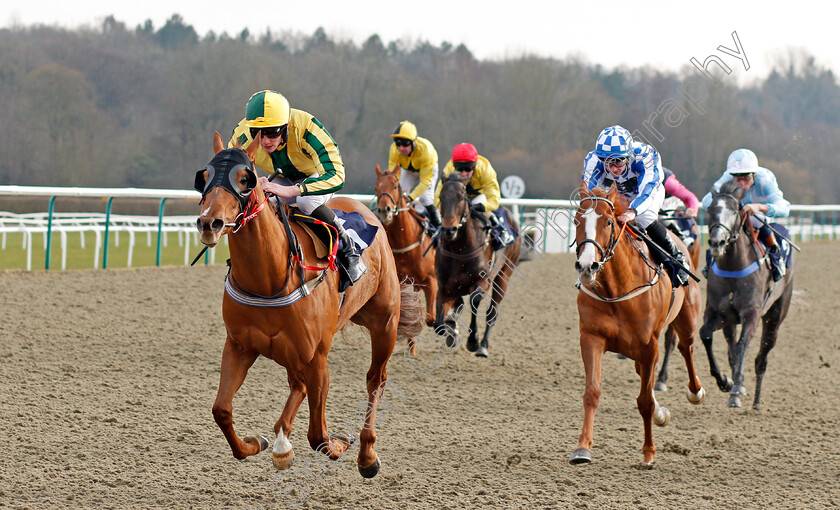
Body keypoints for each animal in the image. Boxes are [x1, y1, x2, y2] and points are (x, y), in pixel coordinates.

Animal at [194, 131, 424, 478]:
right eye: (204, 177)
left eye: (245, 179)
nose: (209, 223)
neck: (269, 280)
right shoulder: (239, 345)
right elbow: (221, 409)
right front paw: (257, 443)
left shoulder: (317, 357)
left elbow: (318, 436)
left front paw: (340, 444)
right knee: (297, 387)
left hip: (385, 323)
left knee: (375, 380)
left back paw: (366, 454)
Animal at [434, 175, 520, 358]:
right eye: (442, 198)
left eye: (461, 197)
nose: (448, 230)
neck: (459, 250)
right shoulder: (444, 286)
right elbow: (438, 325)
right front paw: (451, 332)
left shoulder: (482, 282)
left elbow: (475, 301)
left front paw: (473, 341)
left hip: (504, 275)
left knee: (492, 312)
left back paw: (483, 346)